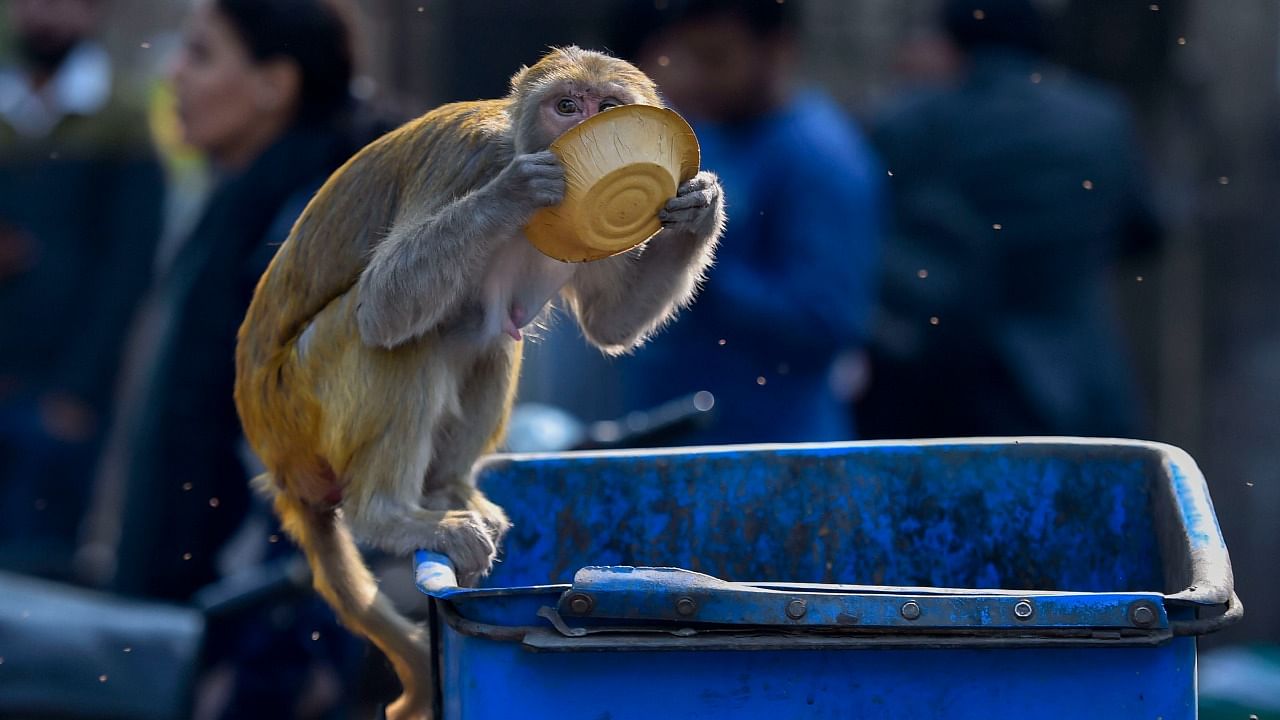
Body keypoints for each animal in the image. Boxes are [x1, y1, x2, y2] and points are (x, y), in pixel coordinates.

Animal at [234, 47, 727, 712]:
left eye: (607, 105)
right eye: (566, 106)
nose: (583, 124)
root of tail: (281, 466)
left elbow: (609, 324)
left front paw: (698, 206)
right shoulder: (464, 158)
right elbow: (382, 307)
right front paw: (511, 193)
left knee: (486, 342)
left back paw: (447, 488)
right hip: (300, 404)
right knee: (405, 340)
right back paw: (389, 515)